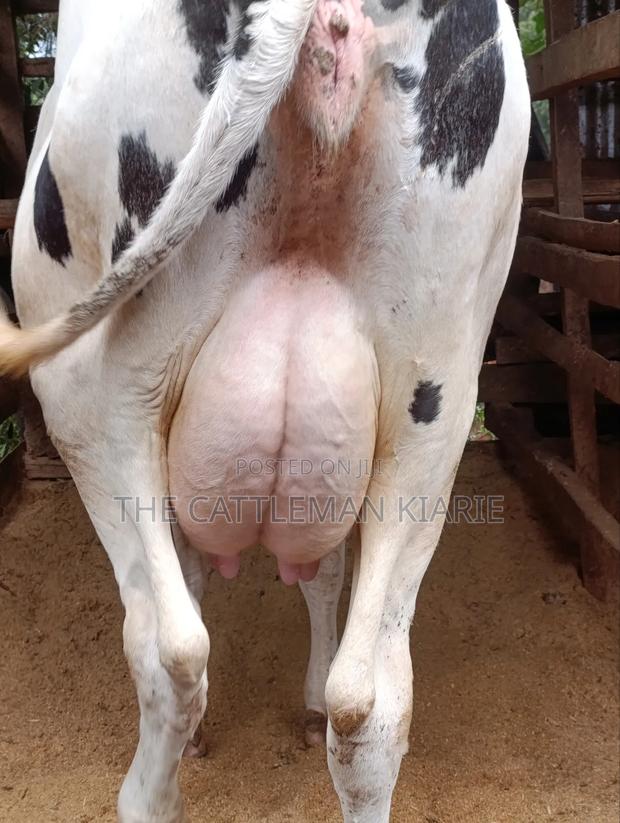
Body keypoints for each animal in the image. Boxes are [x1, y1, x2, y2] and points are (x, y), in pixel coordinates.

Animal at [0, 0, 530, 820]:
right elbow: (323, 576)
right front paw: (307, 700)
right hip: (435, 401)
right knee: (372, 700)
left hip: (98, 394)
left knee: (171, 647)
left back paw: (146, 792)